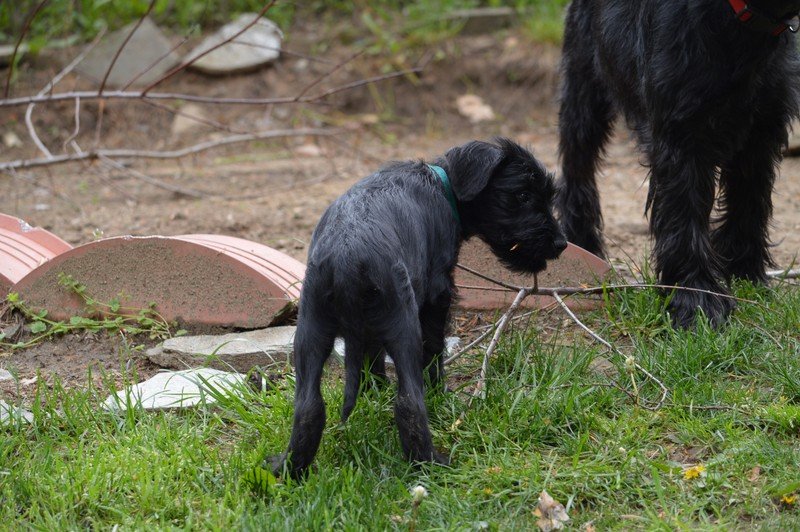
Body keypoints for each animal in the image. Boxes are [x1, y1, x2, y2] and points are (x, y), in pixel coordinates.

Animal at [272, 137, 564, 478]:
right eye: (523, 195)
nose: (561, 244)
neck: (443, 184)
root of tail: (346, 260)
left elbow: (371, 358)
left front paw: (374, 391)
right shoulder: (438, 295)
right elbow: (434, 349)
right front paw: (439, 391)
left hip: (310, 330)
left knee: (308, 406)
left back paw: (289, 468)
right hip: (403, 325)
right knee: (409, 402)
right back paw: (431, 462)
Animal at [556, 0, 800, 328]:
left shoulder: (762, 132)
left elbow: (750, 206)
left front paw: (746, 274)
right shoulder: (681, 137)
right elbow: (685, 217)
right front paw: (695, 300)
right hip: (584, 92)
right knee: (576, 169)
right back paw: (582, 243)